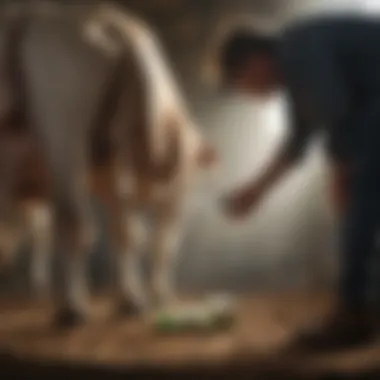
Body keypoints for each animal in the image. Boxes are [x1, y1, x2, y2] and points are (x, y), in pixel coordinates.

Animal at [0, 1, 217, 326]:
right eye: (182, 180)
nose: (180, 210)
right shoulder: (66, 141)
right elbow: (82, 226)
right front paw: (76, 304)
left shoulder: (107, 157)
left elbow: (126, 230)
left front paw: (131, 298)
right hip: (63, 134)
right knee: (70, 223)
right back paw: (70, 303)